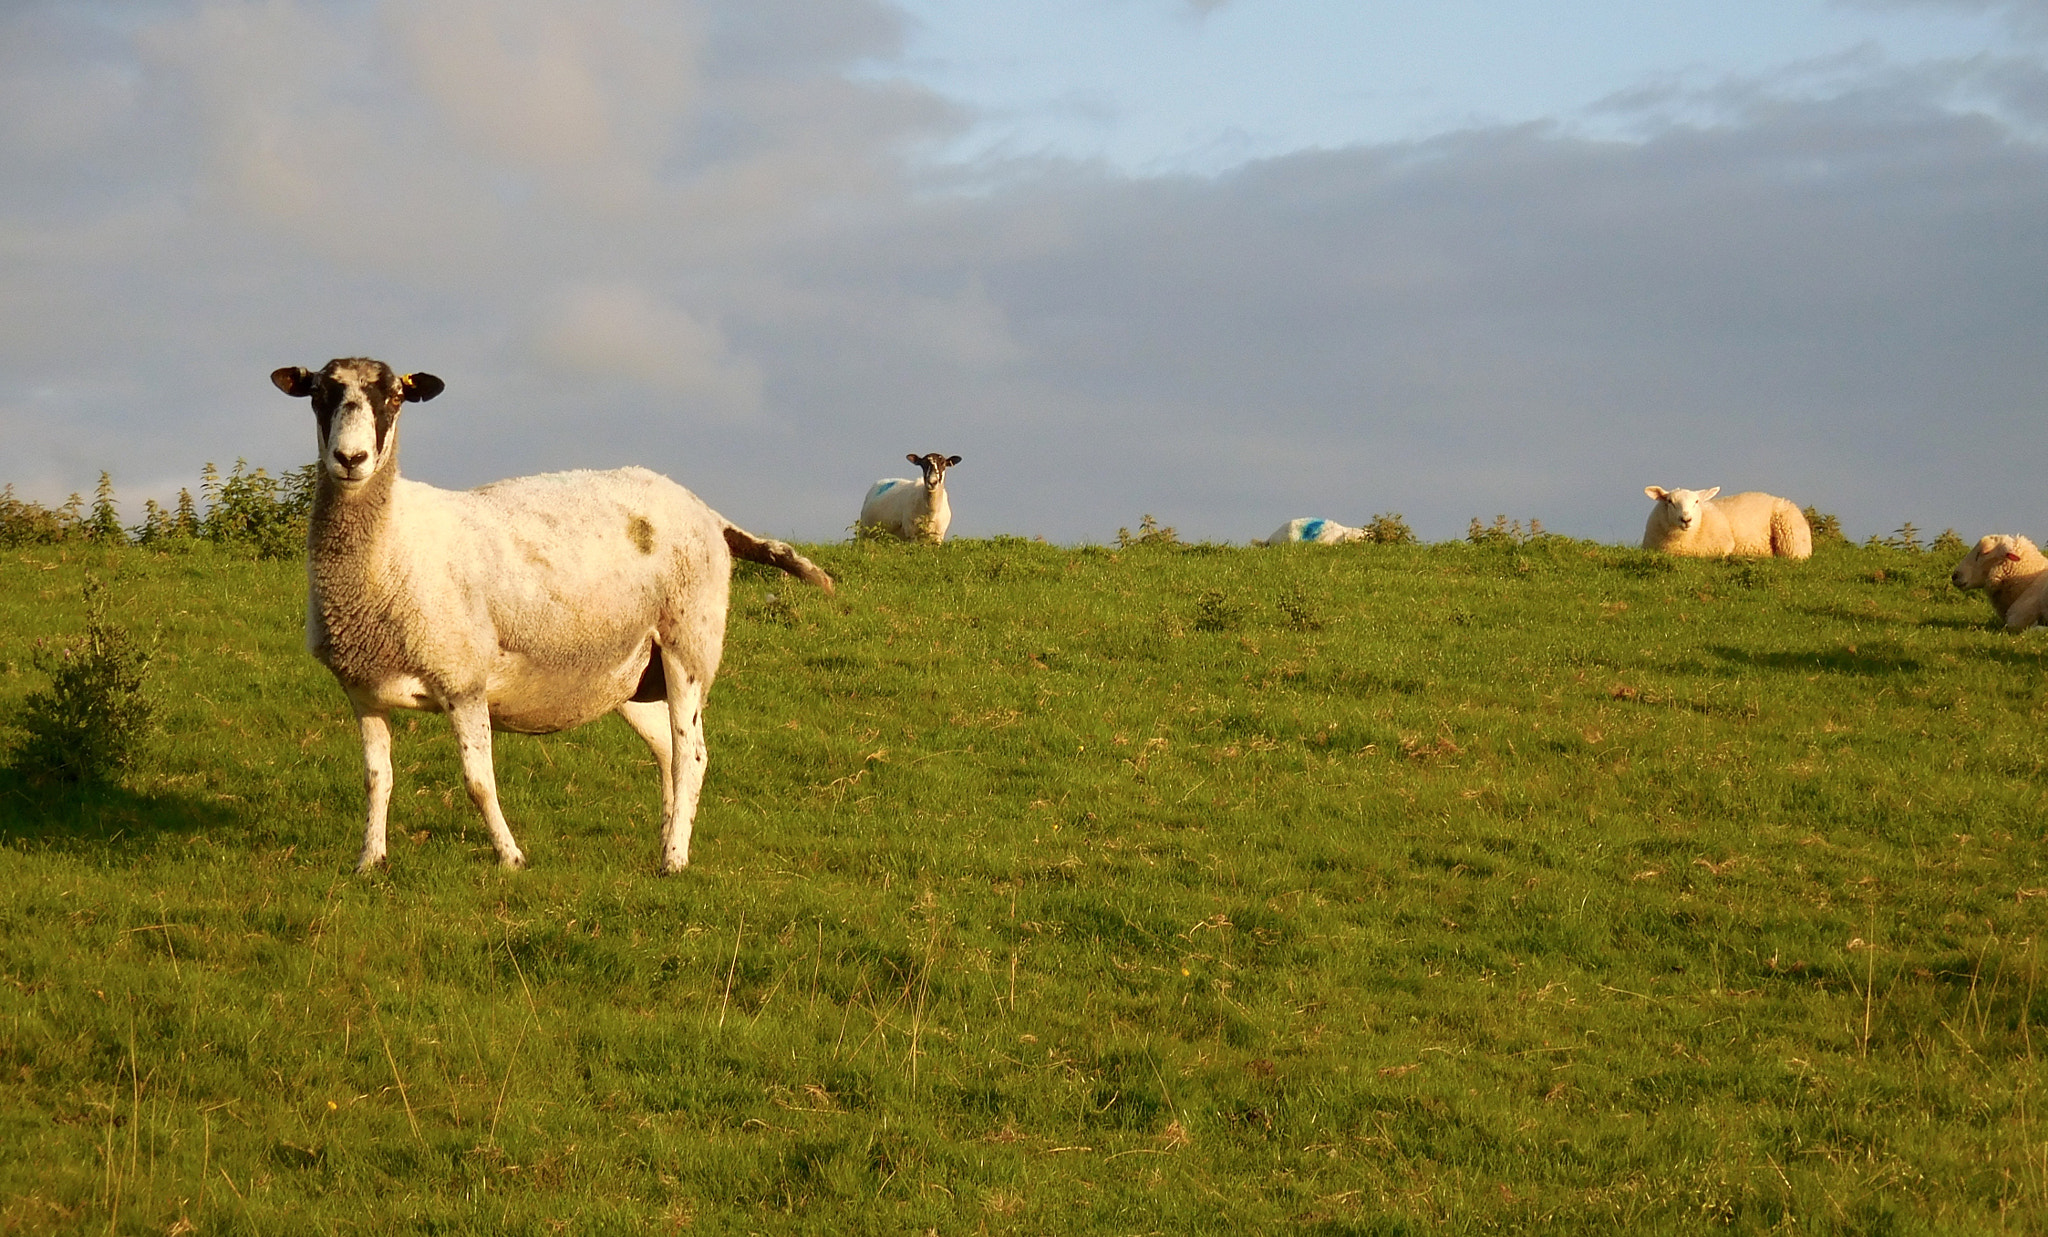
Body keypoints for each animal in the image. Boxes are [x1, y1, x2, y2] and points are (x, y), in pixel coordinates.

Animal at [272, 352, 831, 876]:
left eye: (393, 397)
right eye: (319, 394)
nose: (351, 458)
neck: (392, 543)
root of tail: (705, 510)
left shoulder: (463, 679)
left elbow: (478, 782)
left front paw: (510, 858)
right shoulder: (362, 689)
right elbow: (376, 779)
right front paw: (370, 860)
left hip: (689, 640)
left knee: (691, 754)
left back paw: (674, 859)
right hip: (632, 674)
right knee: (667, 752)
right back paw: (668, 838)